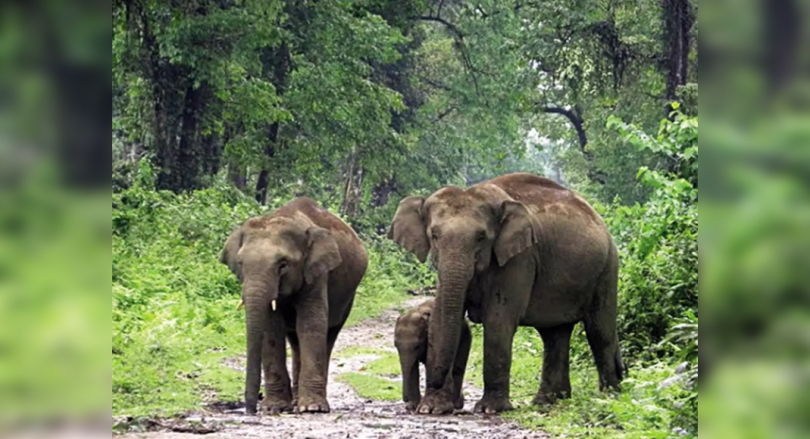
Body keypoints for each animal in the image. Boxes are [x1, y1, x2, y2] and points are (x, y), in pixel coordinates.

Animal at [220, 197, 368, 415]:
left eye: (283, 264)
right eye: (240, 263)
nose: (251, 410)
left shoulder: (316, 272)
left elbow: (311, 322)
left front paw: (312, 408)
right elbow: (271, 327)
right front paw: (275, 408)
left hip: (347, 297)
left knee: (329, 334)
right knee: (296, 339)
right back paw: (297, 401)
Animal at [388, 173, 623, 414]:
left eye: (481, 237)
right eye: (434, 235)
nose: (416, 403)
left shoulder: (519, 257)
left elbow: (498, 319)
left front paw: (489, 409)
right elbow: (440, 316)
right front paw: (432, 409)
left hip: (607, 268)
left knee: (599, 330)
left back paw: (608, 397)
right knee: (554, 334)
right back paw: (548, 402)